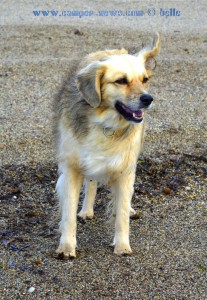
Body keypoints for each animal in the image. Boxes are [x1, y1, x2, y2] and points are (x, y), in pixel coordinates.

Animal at [53, 33, 160, 258]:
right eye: (121, 81)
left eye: (144, 80)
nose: (148, 98)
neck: (104, 123)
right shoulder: (72, 167)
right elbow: (68, 214)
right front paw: (67, 246)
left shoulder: (125, 170)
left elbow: (121, 214)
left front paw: (122, 245)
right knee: (91, 184)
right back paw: (86, 210)